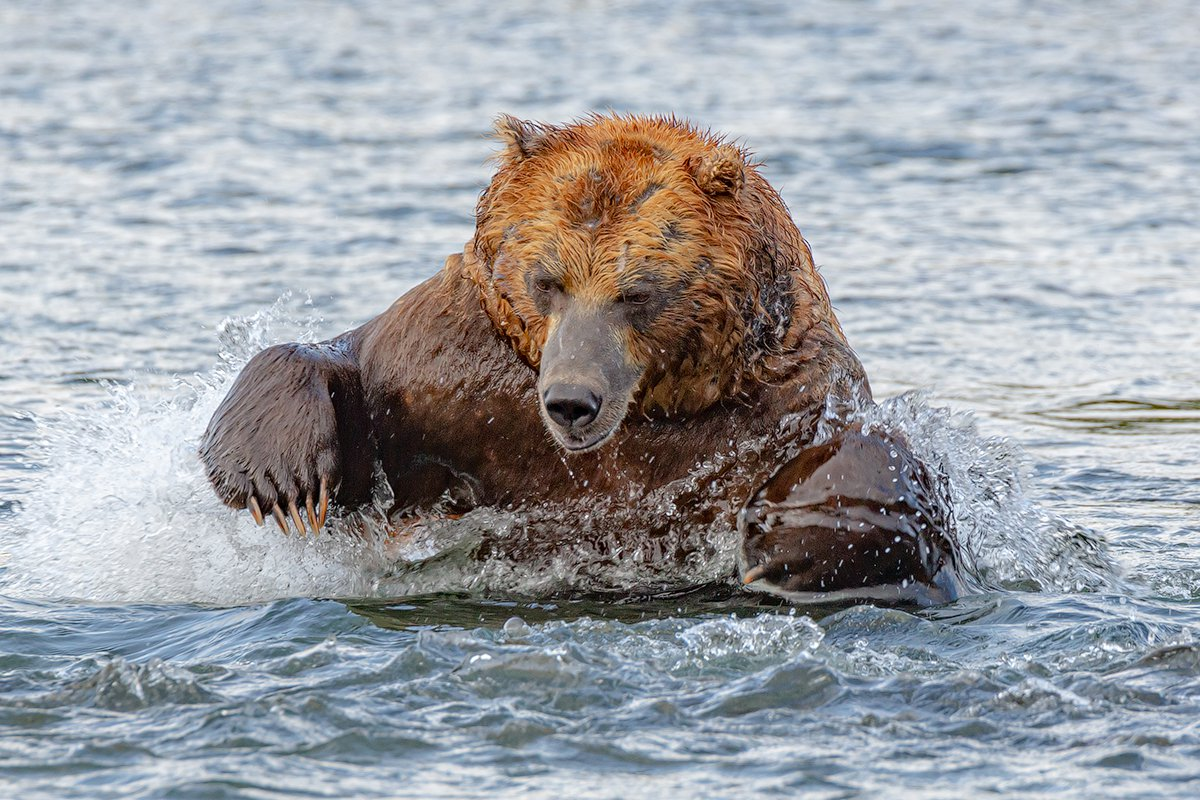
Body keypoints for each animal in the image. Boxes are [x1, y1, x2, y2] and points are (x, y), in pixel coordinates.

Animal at [201, 112, 960, 599]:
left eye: (637, 291)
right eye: (547, 279)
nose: (571, 400)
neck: (656, 405)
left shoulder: (777, 404)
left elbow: (890, 473)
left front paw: (790, 536)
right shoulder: (451, 372)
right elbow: (345, 386)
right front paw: (282, 479)